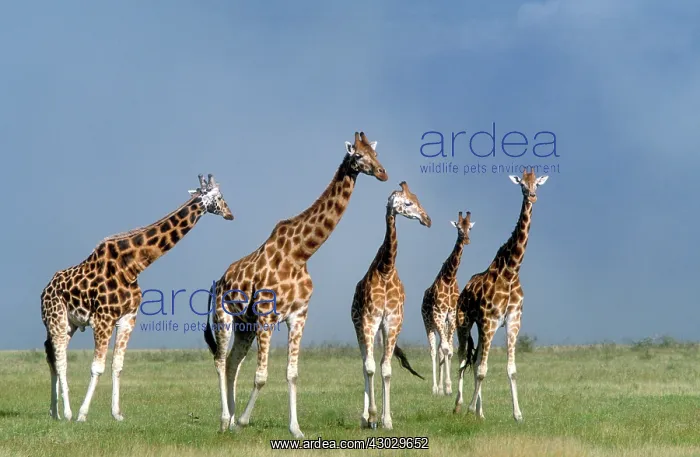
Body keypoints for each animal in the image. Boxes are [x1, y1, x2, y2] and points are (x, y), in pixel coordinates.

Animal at [41, 174, 233, 423]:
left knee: (52, 354)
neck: (132, 266)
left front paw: (117, 413)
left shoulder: (127, 317)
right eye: (219, 197)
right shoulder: (103, 319)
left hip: (68, 324)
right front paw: (83, 414)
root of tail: (45, 290)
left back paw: (54, 411)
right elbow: (97, 367)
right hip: (56, 318)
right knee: (60, 358)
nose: (230, 213)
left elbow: (117, 365)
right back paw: (67, 412)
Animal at [203, 131, 388, 438]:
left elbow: (292, 374)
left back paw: (229, 421)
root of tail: (219, 281)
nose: (384, 173)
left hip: (245, 326)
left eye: (376, 154)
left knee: (231, 363)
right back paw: (224, 419)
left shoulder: (298, 315)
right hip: (224, 317)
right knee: (219, 360)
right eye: (359, 156)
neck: (301, 253)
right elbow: (261, 376)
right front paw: (243, 421)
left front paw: (295, 429)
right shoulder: (267, 314)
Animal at [350, 181, 431, 430]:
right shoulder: (369, 320)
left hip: (382, 331)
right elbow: (369, 367)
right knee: (364, 364)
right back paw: (364, 418)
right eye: (407, 203)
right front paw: (372, 416)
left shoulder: (393, 322)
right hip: (360, 327)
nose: (427, 219)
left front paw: (387, 420)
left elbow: (386, 369)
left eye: (417, 198)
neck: (386, 270)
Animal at [421, 210, 474, 396]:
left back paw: (442, 387)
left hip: (443, 323)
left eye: (469, 227)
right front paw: (443, 387)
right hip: (429, 322)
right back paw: (435, 388)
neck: (449, 277)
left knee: (441, 349)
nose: (466, 240)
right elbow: (444, 349)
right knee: (433, 350)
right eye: (458, 228)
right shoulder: (438, 313)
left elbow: (449, 350)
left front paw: (449, 387)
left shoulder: (450, 315)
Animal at [452, 169, 548, 422]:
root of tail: (464, 289)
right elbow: (482, 370)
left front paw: (517, 414)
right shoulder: (489, 320)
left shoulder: (513, 321)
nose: (532, 196)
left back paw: (480, 412)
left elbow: (511, 370)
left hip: (481, 326)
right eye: (522, 185)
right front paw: (469, 409)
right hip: (464, 322)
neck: (511, 271)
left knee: (475, 359)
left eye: (536, 184)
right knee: (463, 358)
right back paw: (459, 406)